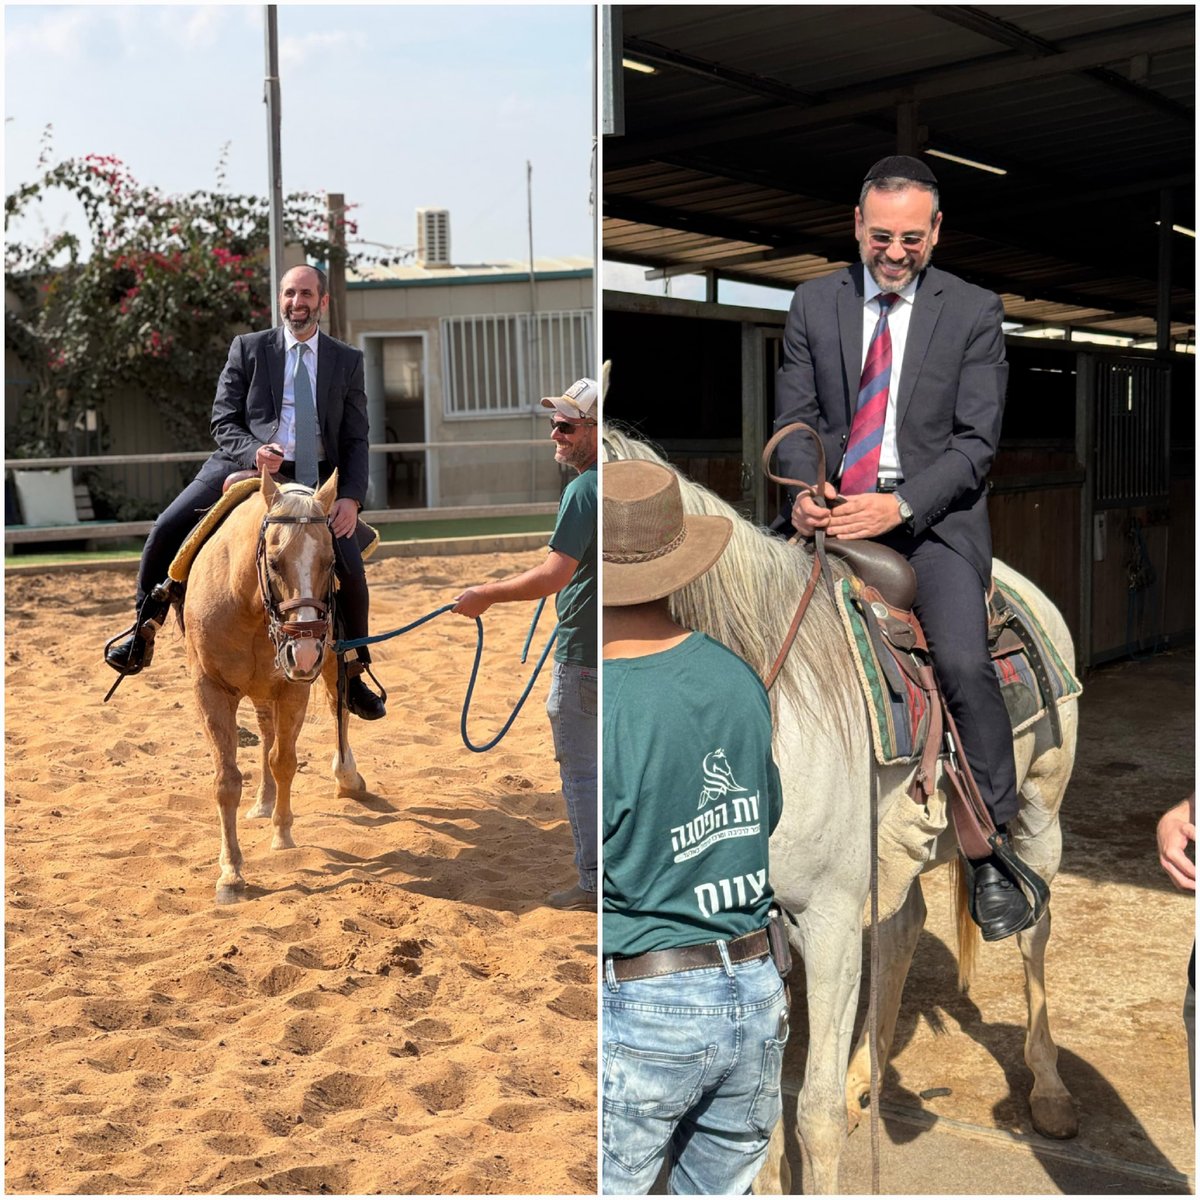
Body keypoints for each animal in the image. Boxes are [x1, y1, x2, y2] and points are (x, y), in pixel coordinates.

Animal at [184, 468, 362, 902]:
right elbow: (227, 780)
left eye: (330, 562)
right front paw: (231, 873)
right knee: (265, 732)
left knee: (338, 708)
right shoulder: (210, 690)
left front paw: (282, 835)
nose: (305, 651)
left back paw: (346, 777)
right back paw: (263, 802)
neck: (247, 606)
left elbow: (284, 761)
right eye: (276, 563)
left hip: (327, 668)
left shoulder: (293, 688)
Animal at [604, 429, 1084, 1190]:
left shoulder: (826, 919)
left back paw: (1050, 1091)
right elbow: (760, 1108)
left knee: (1035, 929)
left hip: (1042, 812)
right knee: (902, 928)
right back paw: (867, 1075)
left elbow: (815, 1115)